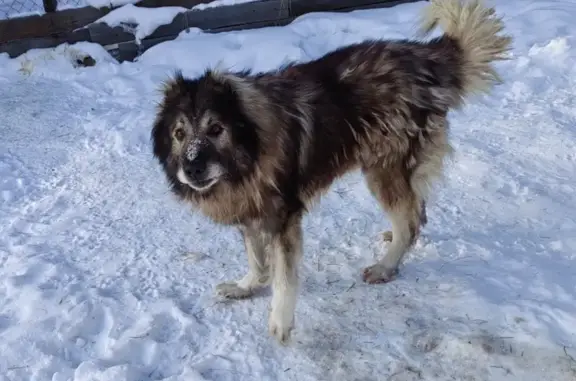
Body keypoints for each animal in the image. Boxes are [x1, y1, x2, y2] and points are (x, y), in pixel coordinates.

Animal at [151, 0, 510, 344]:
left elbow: (284, 277)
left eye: (216, 129)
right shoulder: (250, 209)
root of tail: (425, 58)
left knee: (408, 219)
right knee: (416, 211)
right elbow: (256, 258)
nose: (192, 168)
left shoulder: (283, 219)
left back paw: (385, 266)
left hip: (383, 169)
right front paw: (247, 286)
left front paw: (280, 321)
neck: (248, 152)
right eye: (179, 133)